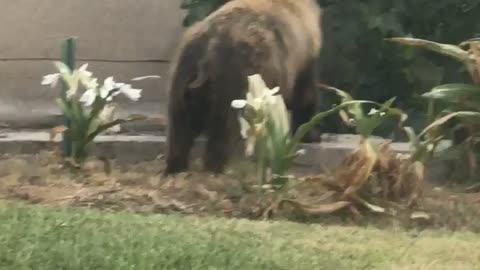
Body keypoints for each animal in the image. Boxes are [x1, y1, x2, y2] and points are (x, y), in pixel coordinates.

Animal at [163, 0, 324, 175]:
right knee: (224, 125)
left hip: (185, 70)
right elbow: (305, 94)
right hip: (236, 72)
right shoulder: (301, 54)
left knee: (180, 124)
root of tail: (210, 45)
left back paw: (175, 167)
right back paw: (216, 167)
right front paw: (311, 134)